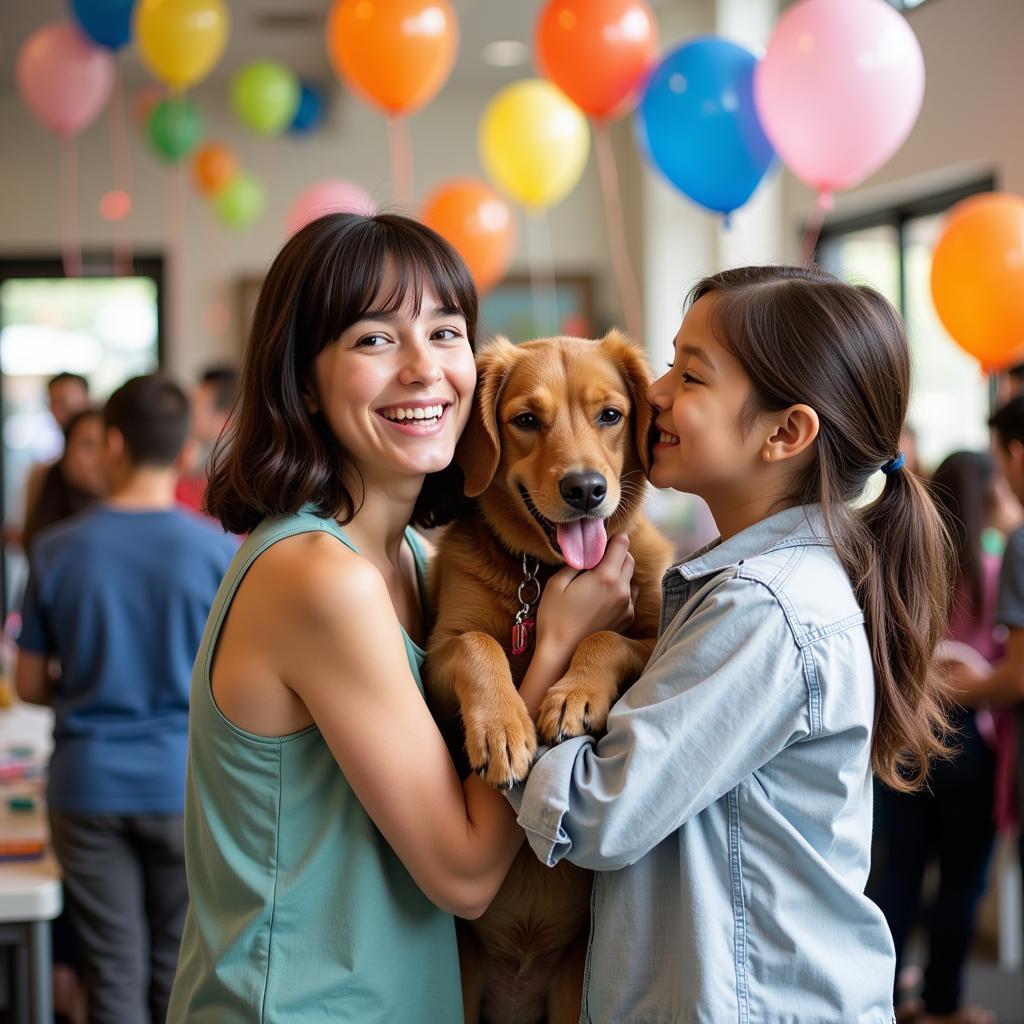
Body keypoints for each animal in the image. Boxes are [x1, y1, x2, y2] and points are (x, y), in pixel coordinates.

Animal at [421, 331, 671, 1019]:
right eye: (527, 421)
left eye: (610, 415)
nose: (586, 488)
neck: (544, 573)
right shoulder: (437, 652)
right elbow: (479, 644)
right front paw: (503, 730)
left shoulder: (655, 634)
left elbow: (609, 636)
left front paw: (572, 697)